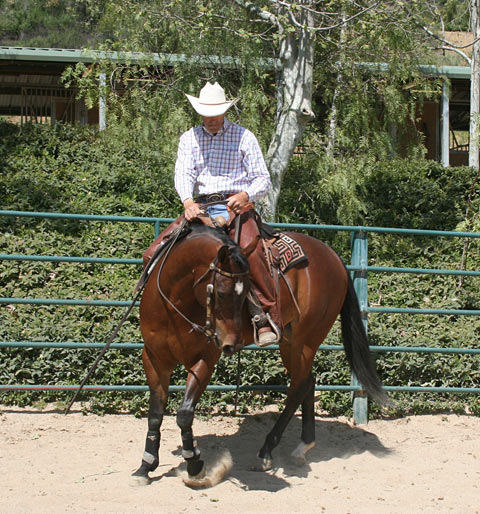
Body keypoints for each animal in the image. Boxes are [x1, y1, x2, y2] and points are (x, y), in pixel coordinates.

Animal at [132, 221, 390, 484]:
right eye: (222, 293)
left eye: (248, 289)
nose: (231, 344)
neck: (175, 305)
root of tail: (334, 257)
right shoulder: (153, 358)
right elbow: (155, 414)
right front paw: (146, 465)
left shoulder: (205, 359)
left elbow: (184, 414)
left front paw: (194, 465)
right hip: (290, 342)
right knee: (308, 381)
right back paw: (302, 447)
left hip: (305, 341)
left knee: (298, 388)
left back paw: (266, 451)